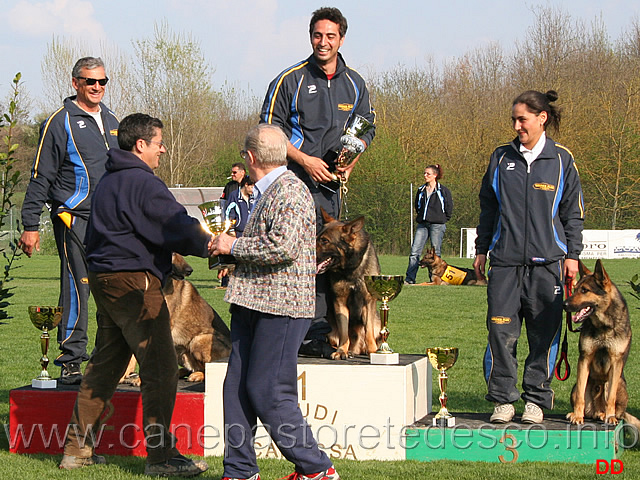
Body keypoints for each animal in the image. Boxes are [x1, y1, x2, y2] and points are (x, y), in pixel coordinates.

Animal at [316, 210, 380, 360]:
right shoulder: (339, 301)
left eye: (325, 241)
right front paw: (341, 351)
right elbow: (344, 331)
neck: (350, 270)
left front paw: (373, 351)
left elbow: (368, 330)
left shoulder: (368, 301)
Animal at [564, 260, 640, 430]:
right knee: (581, 396)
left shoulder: (616, 362)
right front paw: (577, 416)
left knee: (615, 408)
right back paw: (579, 413)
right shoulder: (584, 359)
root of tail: (595, 410)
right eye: (575, 289)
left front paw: (610, 417)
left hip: (618, 383)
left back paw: (606, 414)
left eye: (585, 290)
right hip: (576, 387)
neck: (603, 326)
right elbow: (580, 397)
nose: (564, 304)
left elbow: (610, 398)